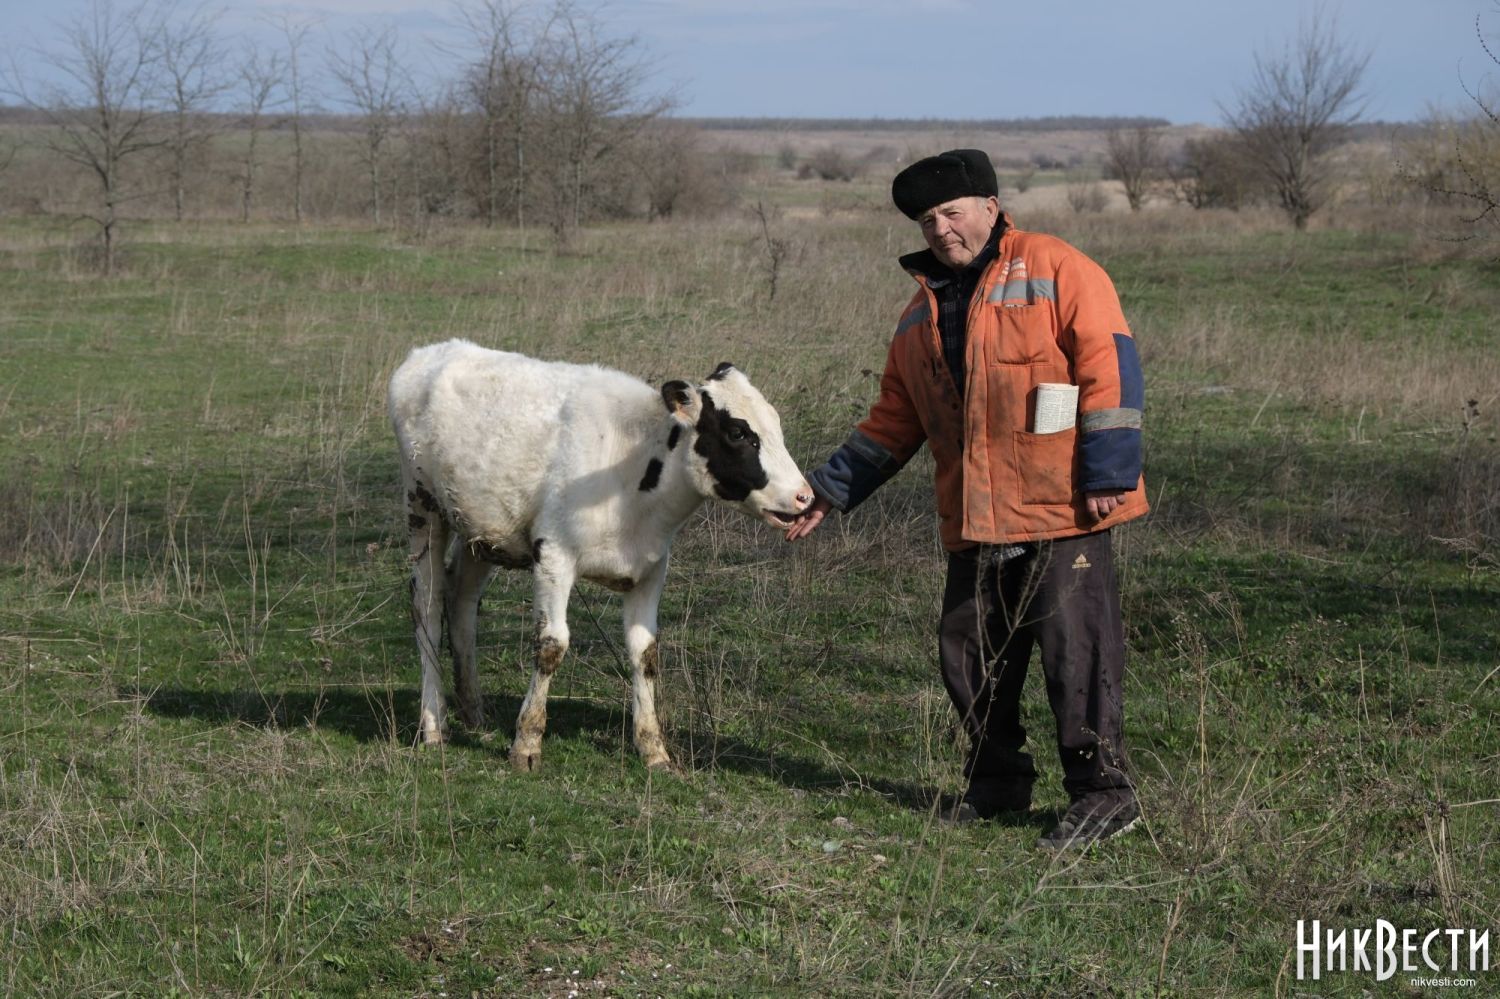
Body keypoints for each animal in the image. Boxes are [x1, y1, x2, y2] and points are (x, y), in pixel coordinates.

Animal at [384, 340, 810, 768]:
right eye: (738, 432)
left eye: (775, 423)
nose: (804, 496)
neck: (630, 469)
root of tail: (431, 351)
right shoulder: (553, 556)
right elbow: (552, 644)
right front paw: (526, 743)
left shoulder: (650, 568)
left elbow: (645, 652)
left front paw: (653, 748)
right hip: (421, 507)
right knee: (427, 607)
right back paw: (434, 725)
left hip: (483, 531)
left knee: (462, 601)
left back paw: (473, 712)